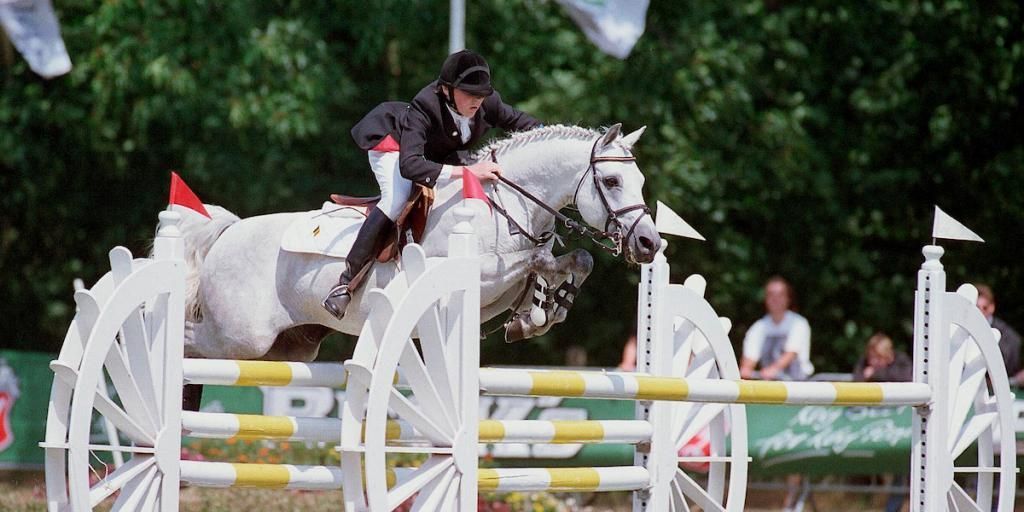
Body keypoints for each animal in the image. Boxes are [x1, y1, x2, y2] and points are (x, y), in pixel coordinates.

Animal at [180, 122, 659, 364]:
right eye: (612, 181)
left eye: (639, 179)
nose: (650, 244)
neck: (505, 206)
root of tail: (228, 232)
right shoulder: (473, 275)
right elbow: (536, 258)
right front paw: (542, 309)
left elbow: (570, 260)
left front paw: (542, 312)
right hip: (242, 338)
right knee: (190, 337)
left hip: (290, 348)